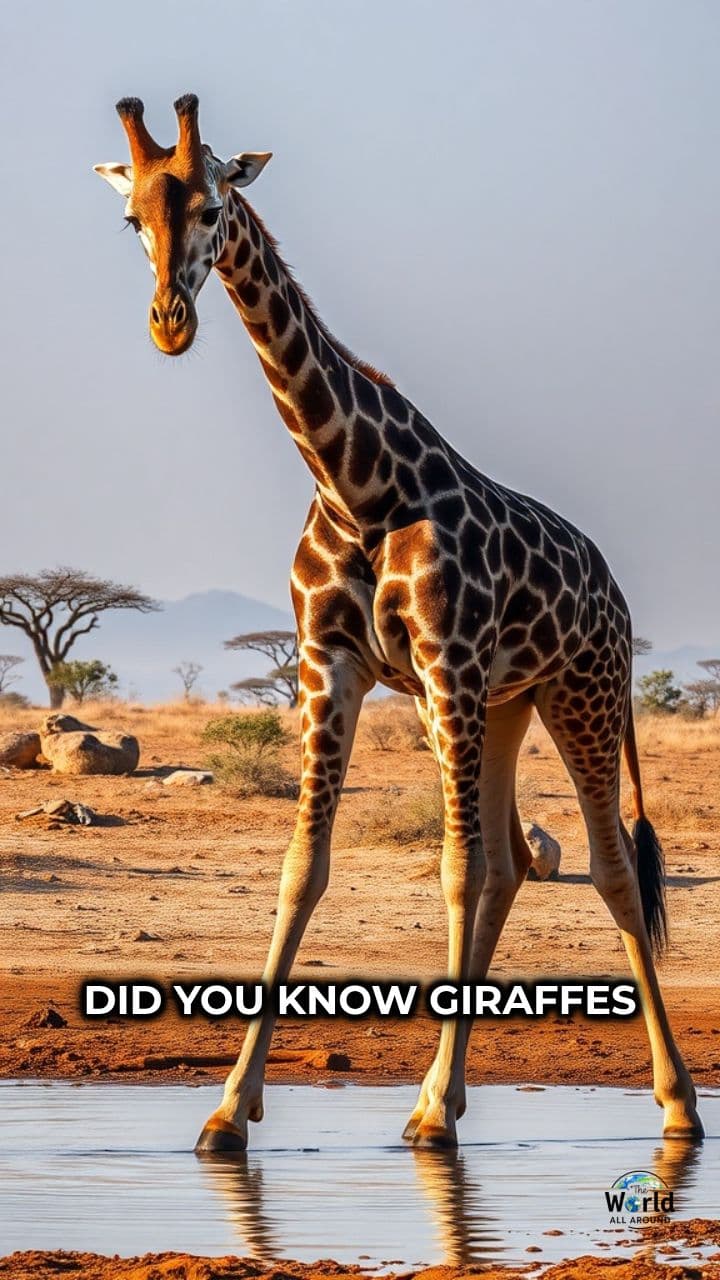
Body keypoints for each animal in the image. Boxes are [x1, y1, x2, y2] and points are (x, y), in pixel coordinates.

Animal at [95, 95, 703, 1152]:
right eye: (132, 218)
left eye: (212, 207)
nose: (171, 324)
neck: (356, 485)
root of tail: (615, 591)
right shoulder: (330, 665)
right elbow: (305, 869)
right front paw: (227, 1111)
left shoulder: (443, 659)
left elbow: (453, 871)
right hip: (496, 704)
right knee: (512, 864)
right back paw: (432, 1097)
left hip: (574, 693)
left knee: (611, 869)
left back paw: (675, 1105)